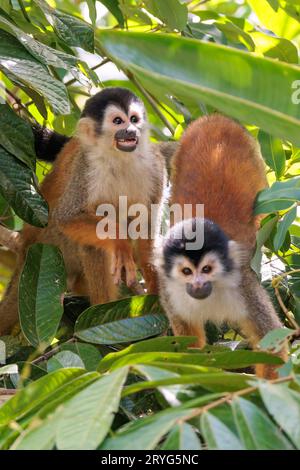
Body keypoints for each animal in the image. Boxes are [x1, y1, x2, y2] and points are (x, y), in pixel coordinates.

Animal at [0, 88, 165, 336]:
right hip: (51, 248)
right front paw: (119, 242)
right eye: (118, 121)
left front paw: (156, 291)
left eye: (134, 119)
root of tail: (25, 250)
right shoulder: (84, 168)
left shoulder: (156, 167)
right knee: (92, 239)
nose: (131, 131)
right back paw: (101, 309)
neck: (120, 158)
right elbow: (67, 218)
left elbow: (146, 228)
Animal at [156, 114, 288, 378]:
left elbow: (272, 343)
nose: (197, 285)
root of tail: (213, 118)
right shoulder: (169, 289)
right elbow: (187, 338)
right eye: (186, 271)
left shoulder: (244, 287)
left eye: (207, 269)